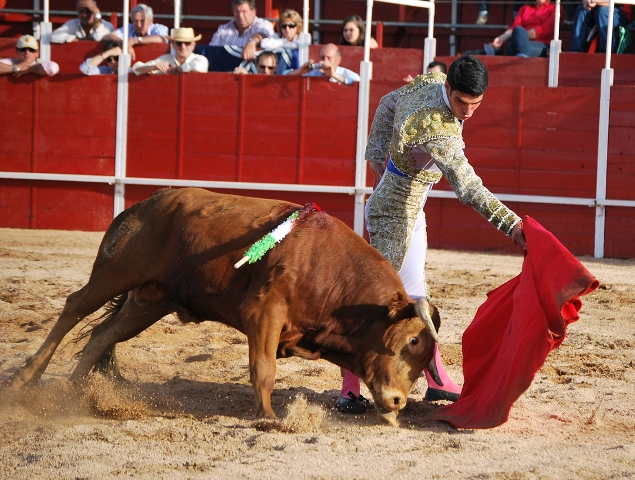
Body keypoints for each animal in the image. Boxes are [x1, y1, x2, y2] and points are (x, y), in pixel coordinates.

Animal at [7, 188, 442, 424]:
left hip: (150, 301)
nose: (398, 402)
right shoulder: (263, 314)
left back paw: (75, 390)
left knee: (102, 334)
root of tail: (144, 204)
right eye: (412, 343)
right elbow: (263, 369)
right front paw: (268, 417)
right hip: (115, 272)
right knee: (73, 308)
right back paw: (25, 378)